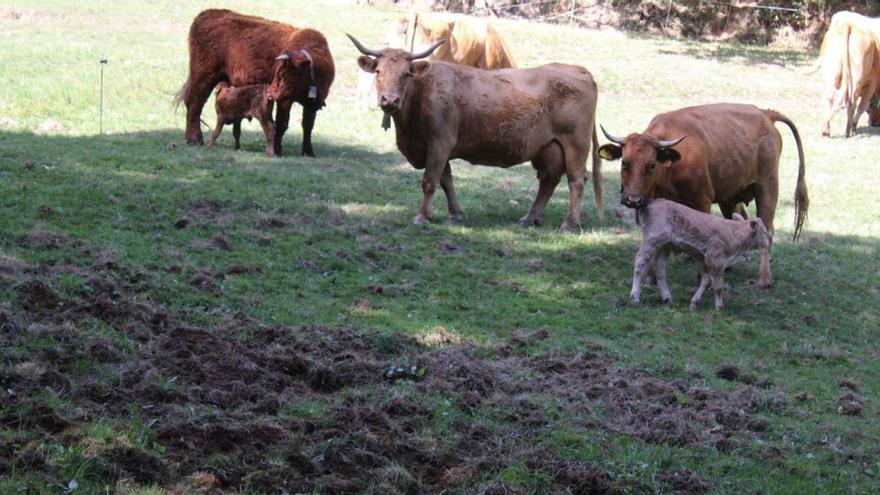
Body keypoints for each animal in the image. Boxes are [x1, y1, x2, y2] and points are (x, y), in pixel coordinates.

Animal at [174, 9, 336, 157]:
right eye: (279, 73)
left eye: (283, 74)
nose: (270, 92)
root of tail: (205, 15)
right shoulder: (285, 101)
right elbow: (281, 123)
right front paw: (277, 150)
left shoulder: (311, 105)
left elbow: (308, 125)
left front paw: (308, 152)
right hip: (203, 77)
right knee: (194, 103)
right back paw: (195, 139)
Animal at [348, 35, 600, 232]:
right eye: (378, 71)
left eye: (406, 74)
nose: (389, 100)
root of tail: (579, 70)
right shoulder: (439, 149)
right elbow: (446, 181)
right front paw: (455, 214)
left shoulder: (439, 143)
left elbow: (430, 181)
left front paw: (421, 217)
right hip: (548, 149)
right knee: (548, 181)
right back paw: (529, 218)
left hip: (575, 145)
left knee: (576, 181)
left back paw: (569, 223)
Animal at [600, 105, 808, 290]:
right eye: (624, 163)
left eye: (651, 165)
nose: (633, 200)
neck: (670, 167)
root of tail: (765, 114)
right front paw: (650, 279)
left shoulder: (702, 200)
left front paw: (702, 275)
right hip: (729, 198)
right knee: (740, 220)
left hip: (767, 187)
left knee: (768, 230)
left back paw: (764, 279)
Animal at [632, 199, 768, 310]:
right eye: (764, 232)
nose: (768, 242)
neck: (734, 233)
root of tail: (652, 202)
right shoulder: (716, 259)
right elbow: (718, 285)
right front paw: (719, 306)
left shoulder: (706, 260)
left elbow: (706, 281)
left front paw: (694, 303)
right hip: (652, 239)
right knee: (640, 263)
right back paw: (634, 297)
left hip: (664, 245)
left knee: (659, 269)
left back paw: (667, 298)